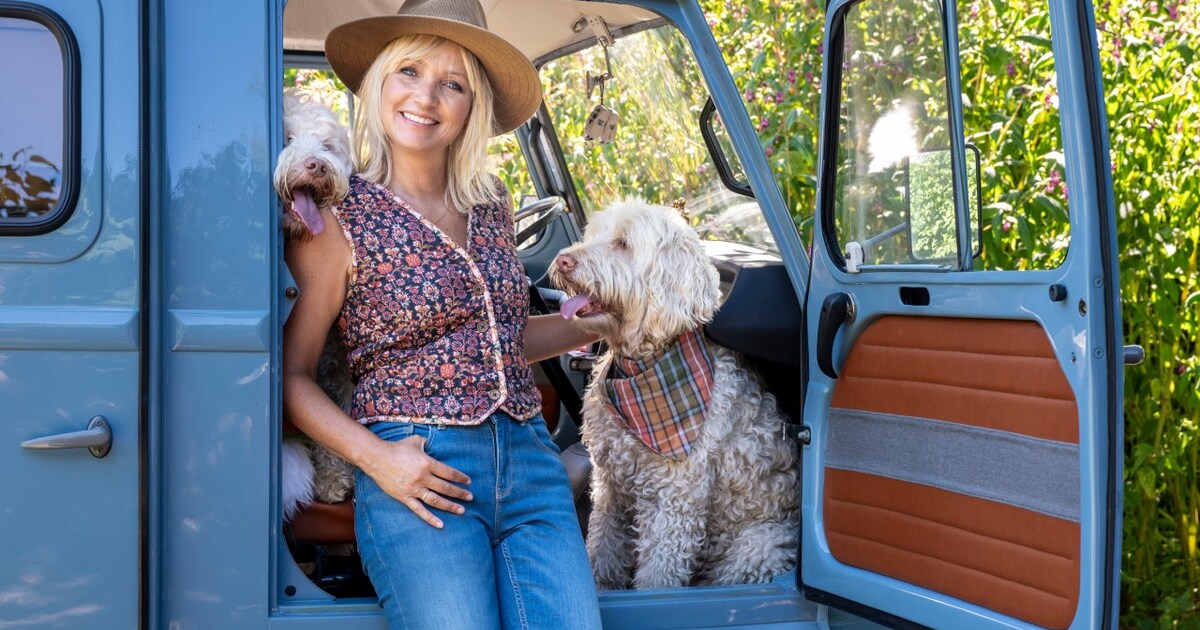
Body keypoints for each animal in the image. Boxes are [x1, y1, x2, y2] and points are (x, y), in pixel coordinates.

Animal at [549, 199, 796, 588]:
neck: (644, 368)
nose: (563, 260)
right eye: (593, 234)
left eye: (623, 244)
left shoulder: (675, 498)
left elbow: (659, 571)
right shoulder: (610, 486)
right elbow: (603, 546)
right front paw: (600, 583)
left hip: (758, 548)